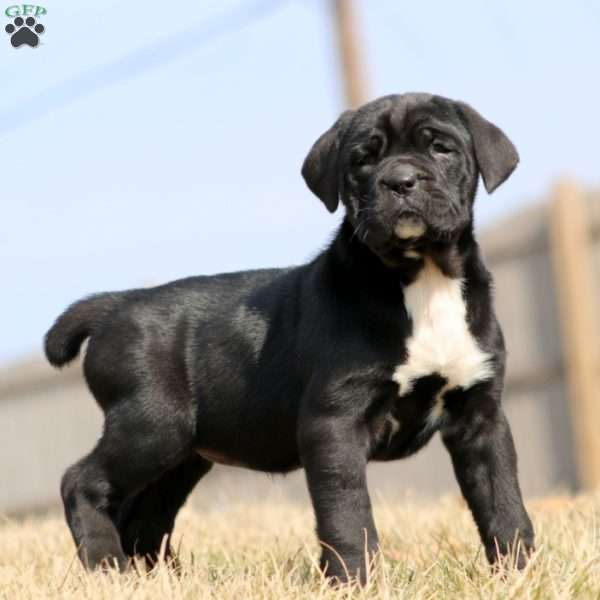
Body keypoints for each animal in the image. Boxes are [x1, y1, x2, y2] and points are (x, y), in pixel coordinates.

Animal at [45, 92, 536, 580]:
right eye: (363, 159)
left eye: (441, 148)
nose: (400, 181)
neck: (423, 278)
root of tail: (116, 304)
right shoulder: (333, 423)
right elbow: (346, 512)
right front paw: (354, 580)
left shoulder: (481, 417)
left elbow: (502, 501)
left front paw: (519, 571)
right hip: (152, 424)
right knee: (81, 481)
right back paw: (105, 566)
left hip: (182, 454)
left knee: (144, 516)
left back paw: (162, 578)